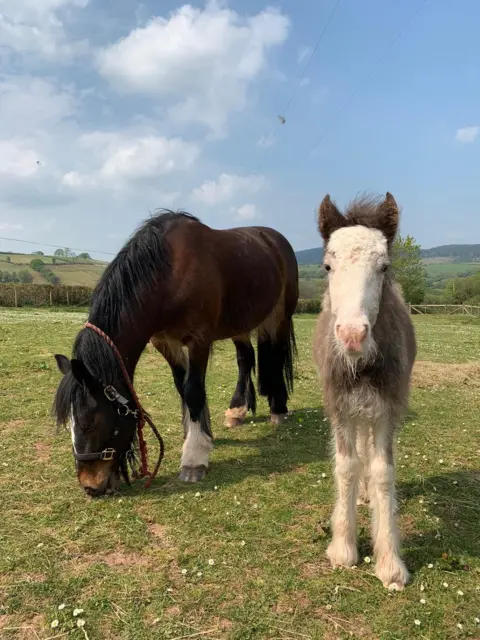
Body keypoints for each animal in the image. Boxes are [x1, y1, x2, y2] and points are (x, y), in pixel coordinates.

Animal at [54, 210, 298, 496]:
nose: (90, 486)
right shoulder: (164, 342)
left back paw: (278, 408)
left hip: (280, 316)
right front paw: (199, 435)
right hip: (241, 322)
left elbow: (193, 390)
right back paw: (237, 410)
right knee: (245, 358)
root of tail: (273, 238)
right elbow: (182, 388)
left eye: (88, 422)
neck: (168, 274)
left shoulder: (198, 340)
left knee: (277, 357)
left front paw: (194, 457)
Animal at [314, 192, 414, 592]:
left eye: (384, 267)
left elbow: (383, 470)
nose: (353, 335)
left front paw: (390, 564)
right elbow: (345, 466)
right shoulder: (341, 408)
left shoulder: (387, 408)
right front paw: (343, 549)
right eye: (328, 266)